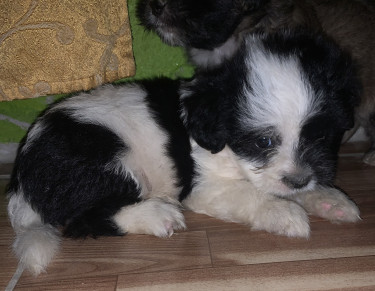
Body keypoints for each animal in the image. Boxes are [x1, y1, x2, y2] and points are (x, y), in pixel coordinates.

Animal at [7, 30, 362, 278]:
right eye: (263, 142)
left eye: (320, 135)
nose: (299, 180)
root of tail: (22, 181)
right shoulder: (204, 186)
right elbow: (251, 194)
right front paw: (284, 213)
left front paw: (330, 199)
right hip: (103, 163)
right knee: (84, 220)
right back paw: (156, 215)